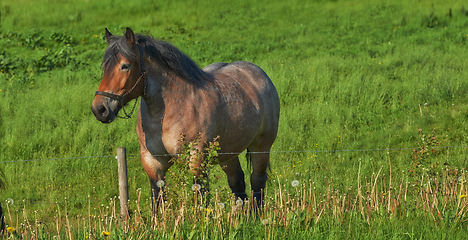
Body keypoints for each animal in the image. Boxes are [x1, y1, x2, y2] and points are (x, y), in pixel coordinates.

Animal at [92, 27, 282, 208]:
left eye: (125, 65)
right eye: (104, 66)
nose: (99, 109)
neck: (166, 115)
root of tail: (258, 74)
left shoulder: (196, 160)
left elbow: (200, 196)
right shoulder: (152, 162)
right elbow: (158, 199)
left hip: (261, 146)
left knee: (257, 181)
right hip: (228, 153)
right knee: (237, 183)